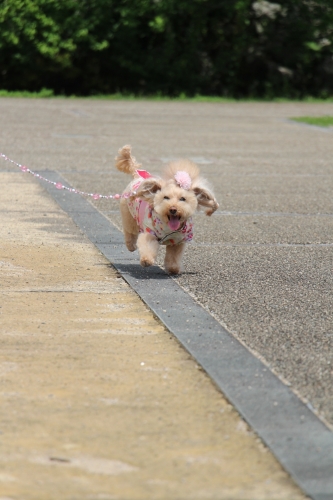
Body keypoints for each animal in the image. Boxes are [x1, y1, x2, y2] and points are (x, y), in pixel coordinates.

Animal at [114, 145, 218, 276]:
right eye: (166, 197)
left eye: (182, 199)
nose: (173, 209)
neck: (168, 227)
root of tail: (137, 177)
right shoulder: (150, 233)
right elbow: (147, 245)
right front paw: (146, 260)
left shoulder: (178, 241)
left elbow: (173, 257)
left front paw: (173, 269)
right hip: (128, 214)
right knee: (129, 231)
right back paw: (131, 245)